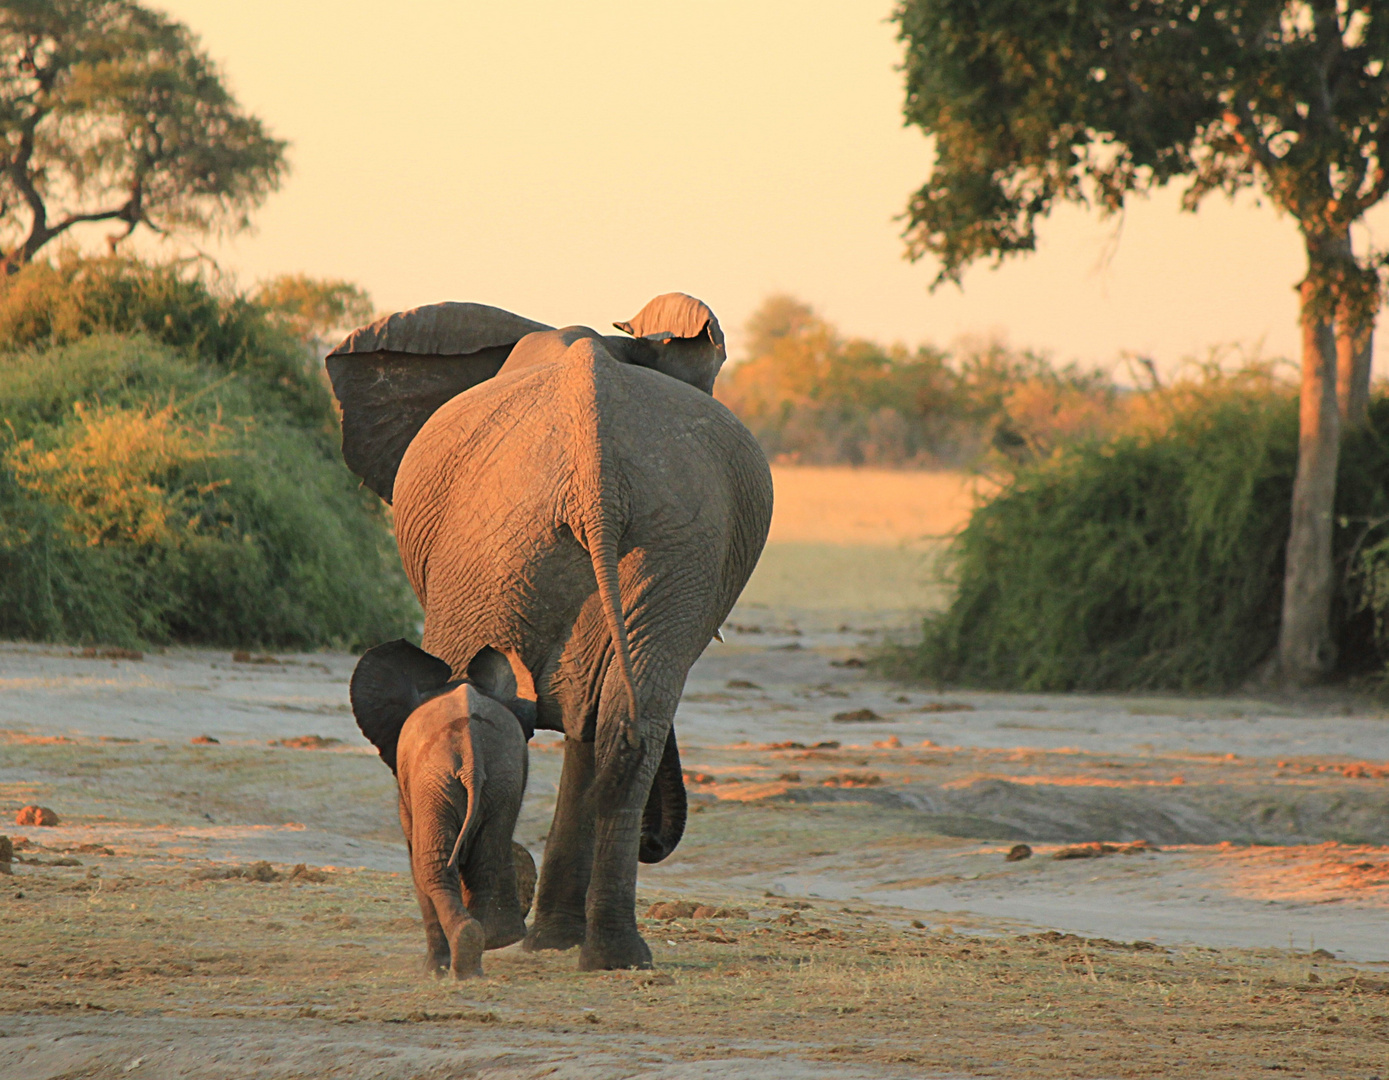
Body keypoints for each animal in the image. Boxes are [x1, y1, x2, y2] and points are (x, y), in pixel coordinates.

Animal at [350, 638, 533, 977]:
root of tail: (472, 752)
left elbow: (416, 861)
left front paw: (431, 969)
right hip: (501, 781)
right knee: (483, 866)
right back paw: (472, 962)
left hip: (432, 781)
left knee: (431, 865)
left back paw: (450, 966)